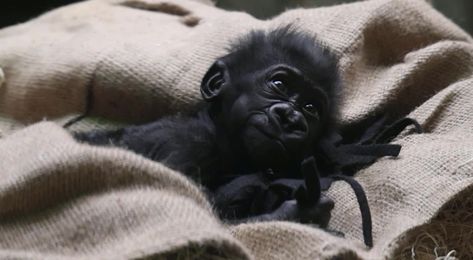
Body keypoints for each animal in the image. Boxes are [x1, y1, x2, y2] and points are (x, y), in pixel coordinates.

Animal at [75, 26, 338, 225]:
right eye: (279, 84)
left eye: (310, 108)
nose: (290, 118)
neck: (218, 133)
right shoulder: (187, 143)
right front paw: (300, 214)